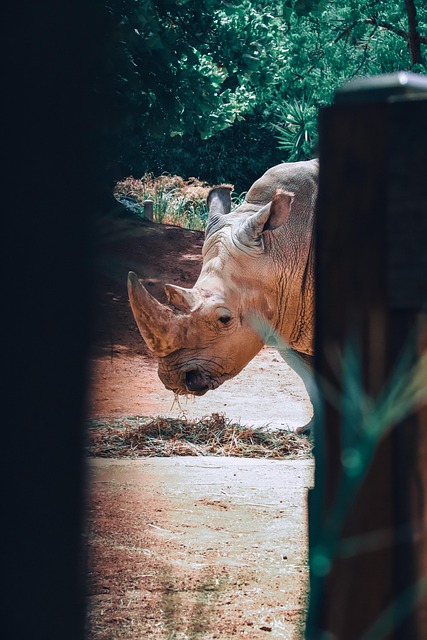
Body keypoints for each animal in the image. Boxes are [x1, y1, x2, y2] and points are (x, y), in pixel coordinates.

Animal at [128, 159, 318, 432]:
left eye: (224, 319)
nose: (173, 378)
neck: (284, 246)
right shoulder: (286, 317)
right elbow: (312, 381)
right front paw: (310, 432)